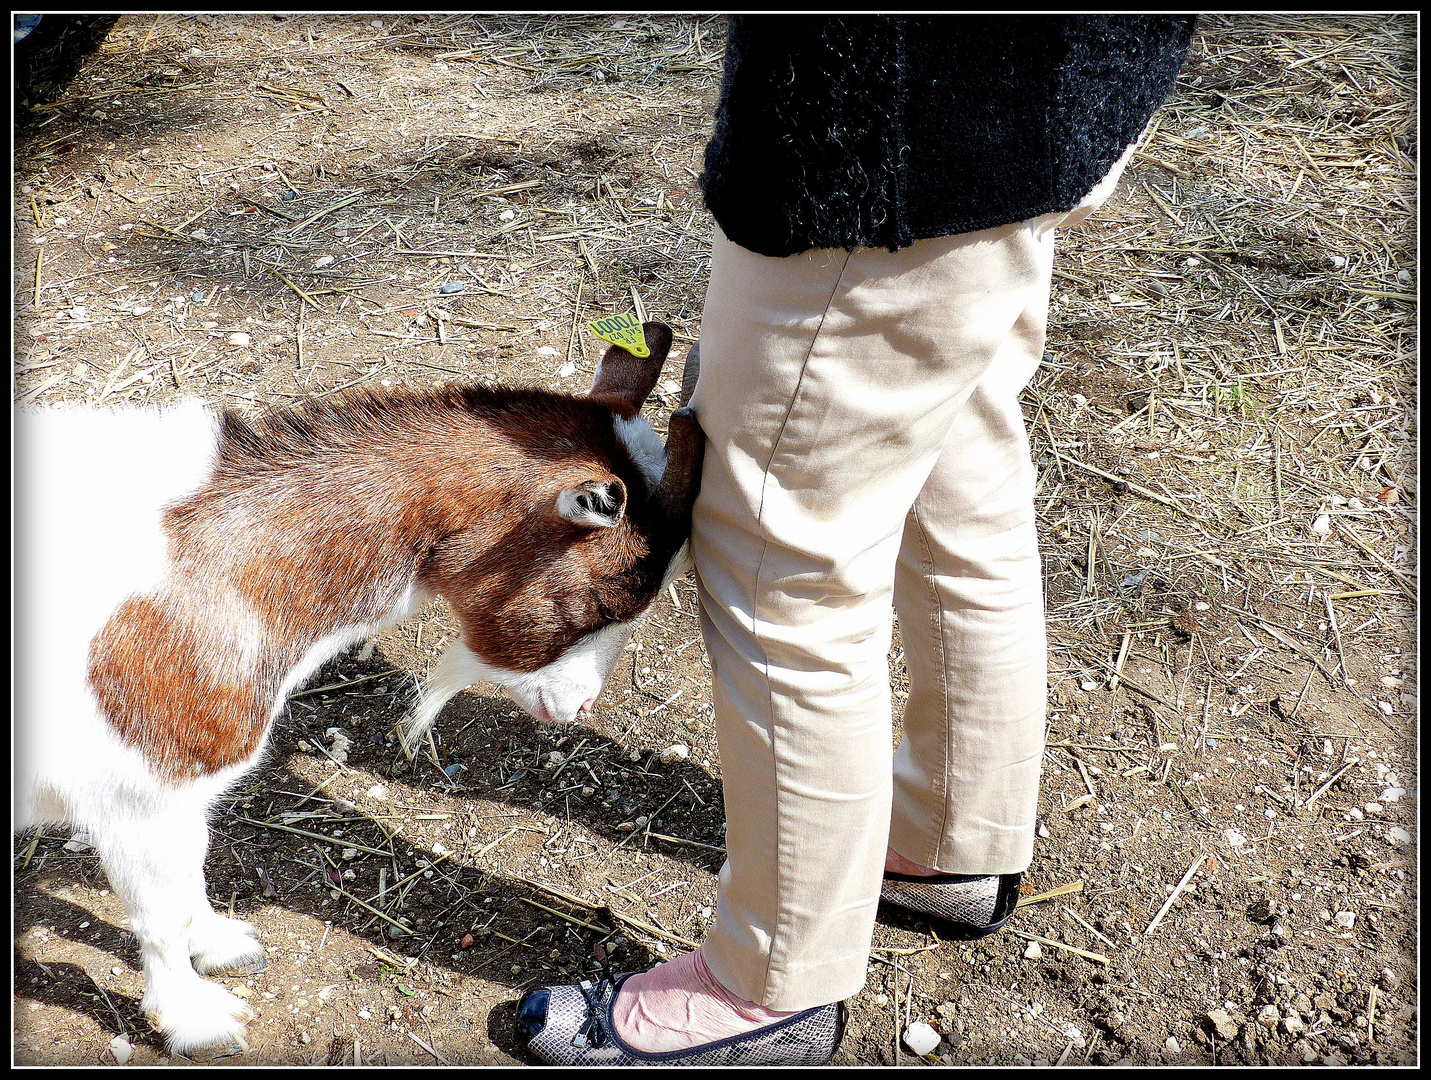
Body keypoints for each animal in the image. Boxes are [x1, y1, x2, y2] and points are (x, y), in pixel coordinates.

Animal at [11, 327, 704, 1058]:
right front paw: (194, 1020)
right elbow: (162, 917)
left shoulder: (179, 789)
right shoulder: (139, 791)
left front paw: (221, 943)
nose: (580, 707)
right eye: (604, 601)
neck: (215, 561)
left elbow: (191, 874)